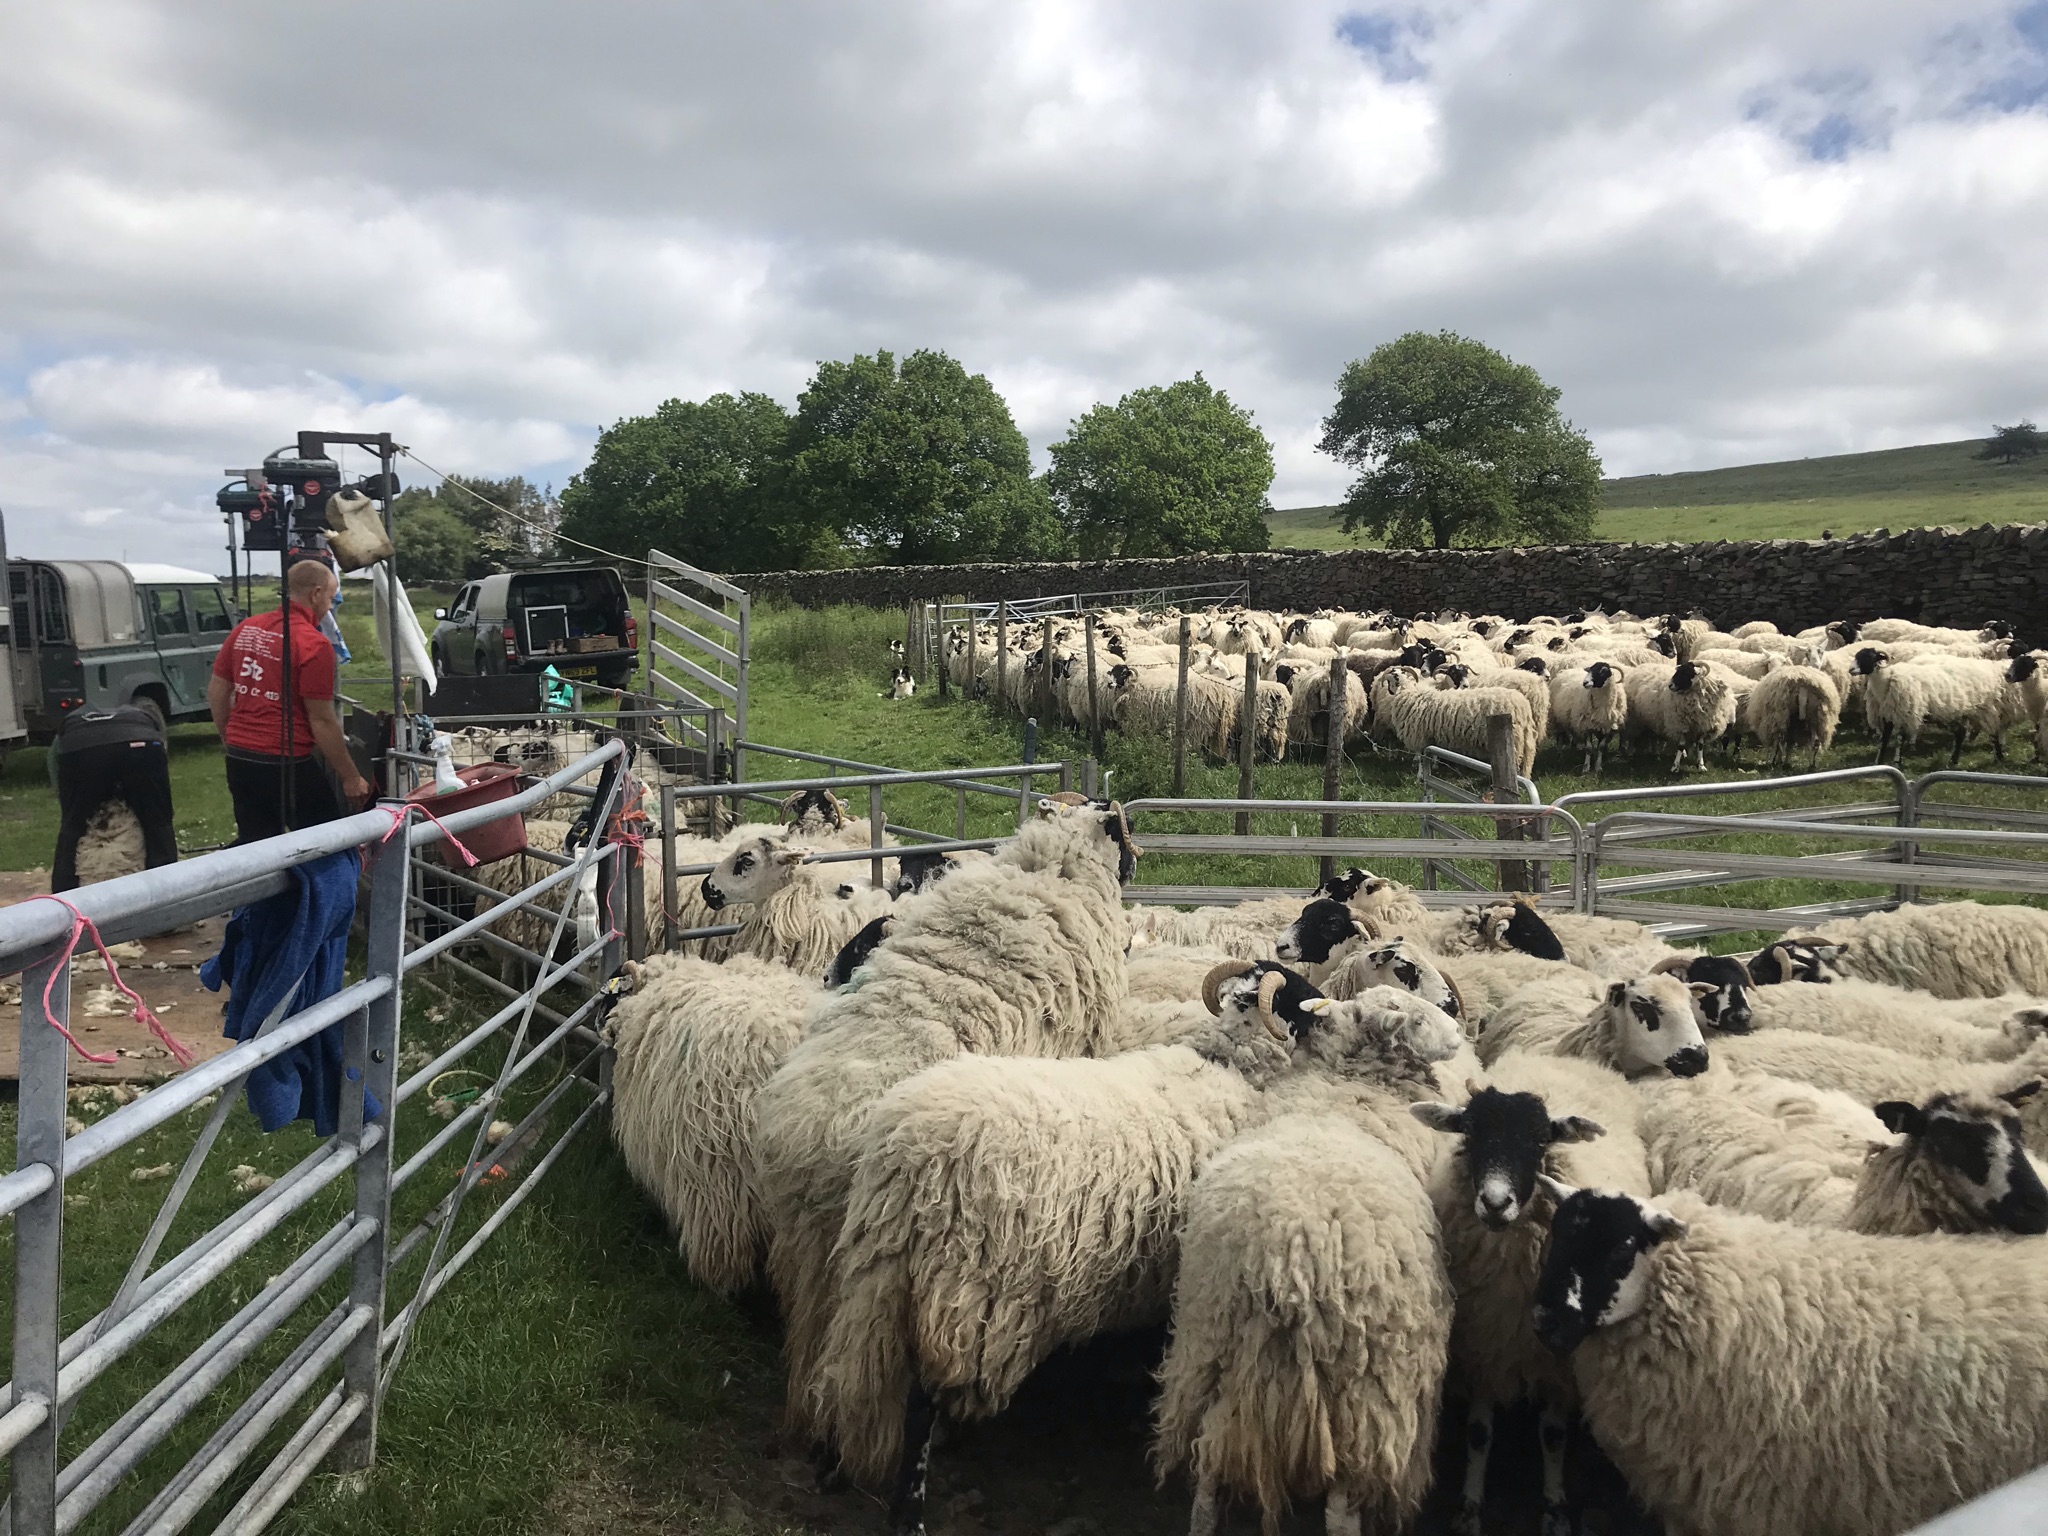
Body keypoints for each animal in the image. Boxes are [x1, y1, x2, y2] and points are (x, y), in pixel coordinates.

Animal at [1411, 1050, 1646, 1536]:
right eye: (1470, 1133)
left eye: (1540, 1141)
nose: (1495, 1203)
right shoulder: (1483, 1344)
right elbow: (1479, 1433)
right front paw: (1469, 1508)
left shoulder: (1558, 1361)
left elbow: (1553, 1436)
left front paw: (1555, 1509)